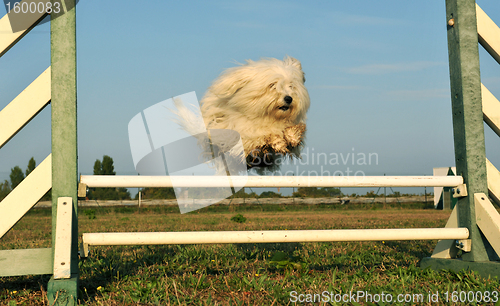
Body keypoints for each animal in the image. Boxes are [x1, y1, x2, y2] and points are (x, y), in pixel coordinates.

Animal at [174, 56, 310, 171]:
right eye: (272, 85)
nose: (289, 98)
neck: (268, 117)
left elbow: (291, 134)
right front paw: (275, 141)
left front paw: (292, 136)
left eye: (291, 86)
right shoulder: (240, 136)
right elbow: (260, 137)